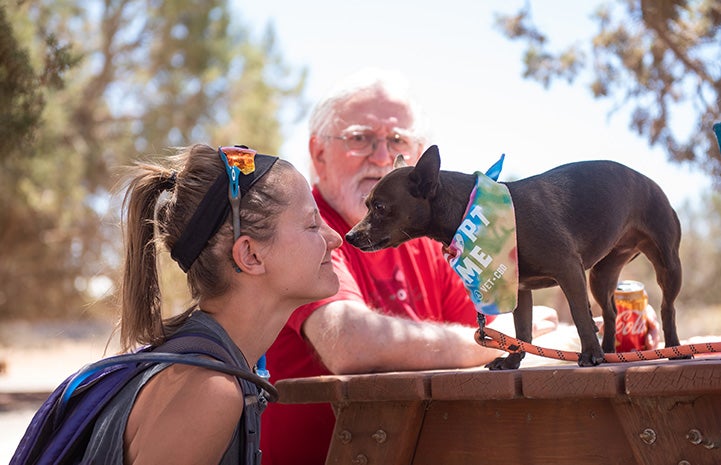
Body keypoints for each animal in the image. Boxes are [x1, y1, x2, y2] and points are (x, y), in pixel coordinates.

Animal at [346, 145, 684, 370]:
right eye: (366, 204)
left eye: (380, 207)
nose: (349, 236)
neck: (470, 209)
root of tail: (651, 183)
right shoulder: (519, 288)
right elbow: (521, 331)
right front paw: (512, 360)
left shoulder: (569, 271)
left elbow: (580, 317)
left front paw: (588, 354)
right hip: (602, 276)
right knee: (612, 313)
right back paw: (609, 350)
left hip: (668, 265)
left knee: (667, 308)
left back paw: (671, 347)